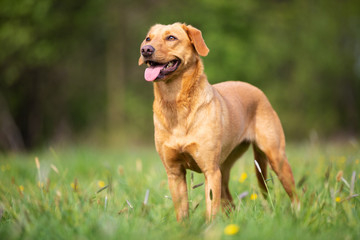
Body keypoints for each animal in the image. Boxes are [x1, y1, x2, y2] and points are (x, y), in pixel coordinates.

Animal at [138, 22, 298, 221]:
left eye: (171, 38)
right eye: (148, 39)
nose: (146, 50)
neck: (175, 103)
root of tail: (258, 91)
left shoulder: (210, 171)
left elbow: (211, 210)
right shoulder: (175, 173)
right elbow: (182, 213)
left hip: (276, 157)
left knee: (295, 195)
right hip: (225, 167)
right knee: (229, 201)